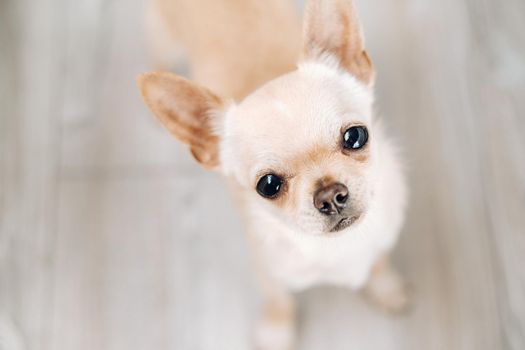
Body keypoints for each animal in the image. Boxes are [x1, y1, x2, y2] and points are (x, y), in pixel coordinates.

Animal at [138, 0, 406, 348]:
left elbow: (380, 261)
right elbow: (279, 300)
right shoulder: (267, 269)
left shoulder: (384, 235)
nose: (330, 195)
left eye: (355, 136)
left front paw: (385, 287)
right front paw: (278, 332)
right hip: (162, 36)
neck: (337, 247)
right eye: (268, 186)